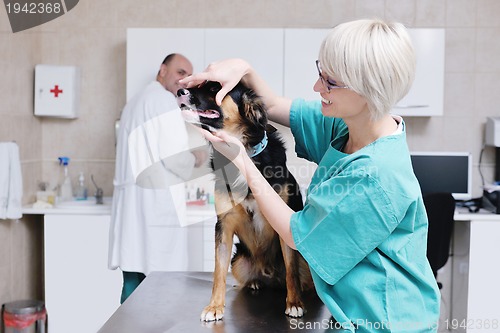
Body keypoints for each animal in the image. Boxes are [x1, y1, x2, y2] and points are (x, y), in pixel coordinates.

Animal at [176, 81, 312, 322]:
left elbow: (291, 270)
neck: (244, 155)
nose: (179, 91)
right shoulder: (224, 223)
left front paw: (295, 303)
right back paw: (255, 282)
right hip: (238, 260)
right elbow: (218, 272)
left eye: (215, 88)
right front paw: (214, 306)